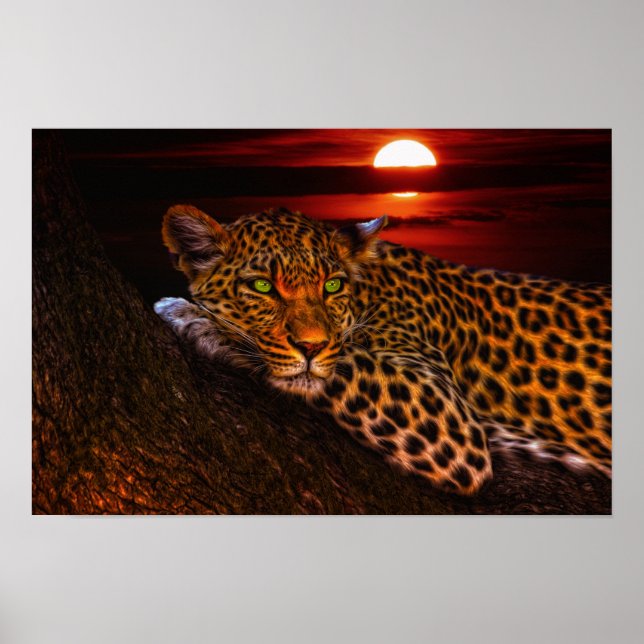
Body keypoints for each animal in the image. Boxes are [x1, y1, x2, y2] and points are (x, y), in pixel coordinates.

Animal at [154, 204, 612, 495]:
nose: (310, 346)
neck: (369, 291)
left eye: (332, 285)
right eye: (263, 286)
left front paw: (195, 318)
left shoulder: (446, 415)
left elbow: (340, 364)